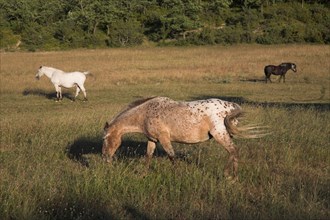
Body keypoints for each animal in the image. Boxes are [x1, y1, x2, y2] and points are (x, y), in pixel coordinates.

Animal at [102, 97, 266, 180]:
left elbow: (171, 156)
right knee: (234, 153)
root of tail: (231, 106)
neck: (145, 113)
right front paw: (143, 175)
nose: (105, 158)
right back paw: (234, 177)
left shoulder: (164, 139)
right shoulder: (153, 140)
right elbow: (148, 156)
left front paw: (177, 175)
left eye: (105, 139)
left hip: (220, 135)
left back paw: (228, 176)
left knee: (233, 151)